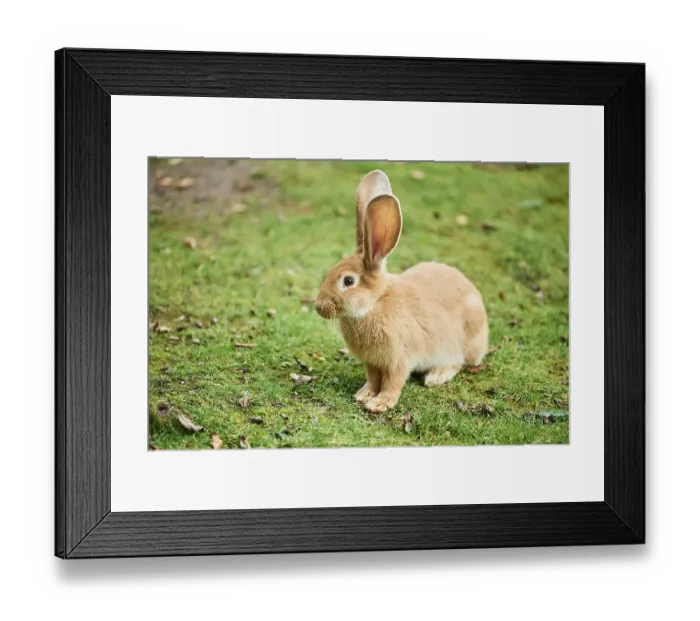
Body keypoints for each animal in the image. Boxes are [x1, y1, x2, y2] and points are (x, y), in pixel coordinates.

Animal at [314, 170, 489, 413]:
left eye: (348, 281)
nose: (319, 307)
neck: (375, 303)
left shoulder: (400, 359)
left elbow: (393, 383)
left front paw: (379, 403)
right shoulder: (373, 362)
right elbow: (373, 379)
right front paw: (364, 394)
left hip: (458, 343)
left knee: (458, 362)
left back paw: (435, 377)